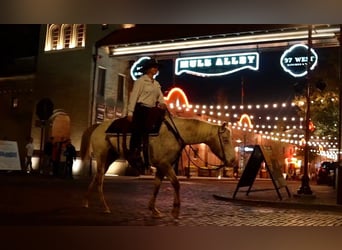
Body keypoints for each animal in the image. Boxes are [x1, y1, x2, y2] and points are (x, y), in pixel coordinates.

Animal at [80, 115, 235, 219]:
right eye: (225, 139)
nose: (233, 160)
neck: (175, 134)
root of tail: (98, 126)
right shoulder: (164, 164)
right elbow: (176, 183)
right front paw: (175, 211)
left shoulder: (162, 167)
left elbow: (157, 186)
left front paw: (153, 209)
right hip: (101, 156)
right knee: (100, 180)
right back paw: (105, 207)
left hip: (110, 157)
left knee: (97, 177)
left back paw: (86, 202)